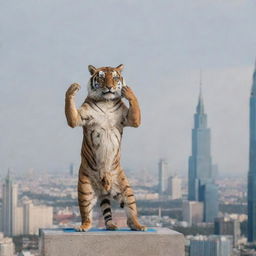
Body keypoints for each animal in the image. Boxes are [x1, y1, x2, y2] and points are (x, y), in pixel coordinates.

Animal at [65, 64, 147, 232]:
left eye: (115, 77)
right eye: (102, 77)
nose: (109, 87)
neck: (106, 102)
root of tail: (103, 188)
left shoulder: (129, 118)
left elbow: (134, 107)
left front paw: (128, 91)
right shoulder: (79, 117)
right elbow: (71, 112)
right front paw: (73, 88)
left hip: (126, 190)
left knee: (129, 213)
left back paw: (135, 225)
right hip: (85, 190)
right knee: (87, 214)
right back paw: (84, 226)